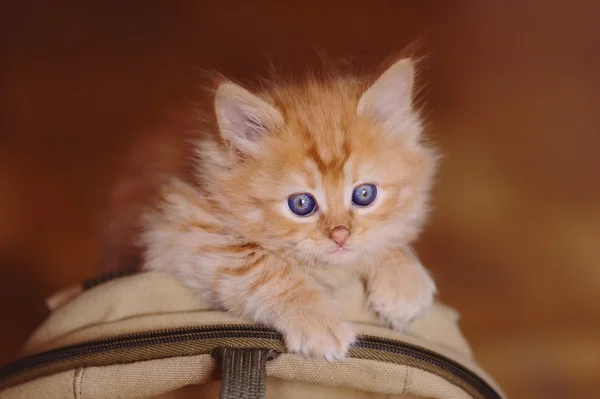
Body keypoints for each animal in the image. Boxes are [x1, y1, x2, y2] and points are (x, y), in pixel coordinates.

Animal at [142, 59, 440, 362]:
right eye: (301, 204)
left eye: (364, 195)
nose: (340, 235)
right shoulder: (182, 228)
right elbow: (263, 268)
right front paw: (318, 321)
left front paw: (403, 281)